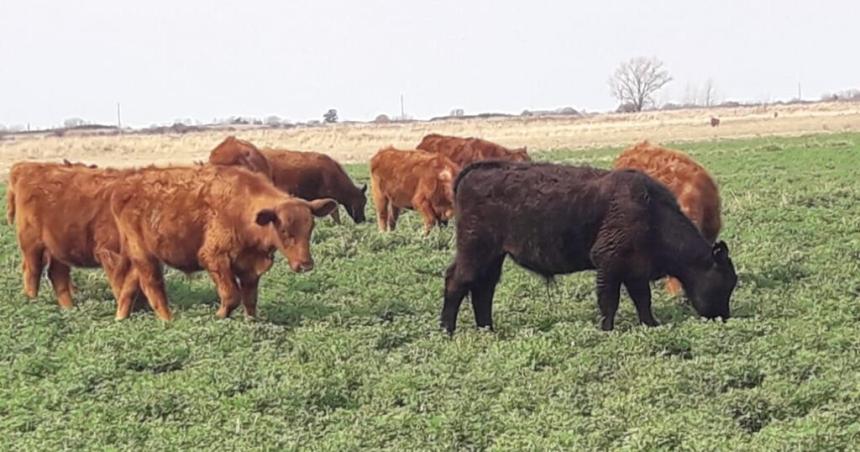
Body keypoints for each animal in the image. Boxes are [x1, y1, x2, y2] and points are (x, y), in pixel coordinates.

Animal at [6, 161, 138, 308]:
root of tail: (26, 166)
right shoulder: (111, 252)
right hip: (32, 245)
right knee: (32, 271)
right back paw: (32, 302)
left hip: (57, 247)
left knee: (57, 274)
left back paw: (68, 307)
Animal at [108, 164, 336, 320]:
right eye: (284, 230)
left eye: (310, 228)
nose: (305, 265)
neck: (243, 208)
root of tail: (125, 186)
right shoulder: (215, 258)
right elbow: (232, 295)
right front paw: (219, 316)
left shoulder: (249, 267)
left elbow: (250, 299)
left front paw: (252, 323)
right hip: (145, 256)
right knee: (153, 286)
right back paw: (168, 321)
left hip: (141, 258)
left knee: (130, 285)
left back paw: (121, 319)